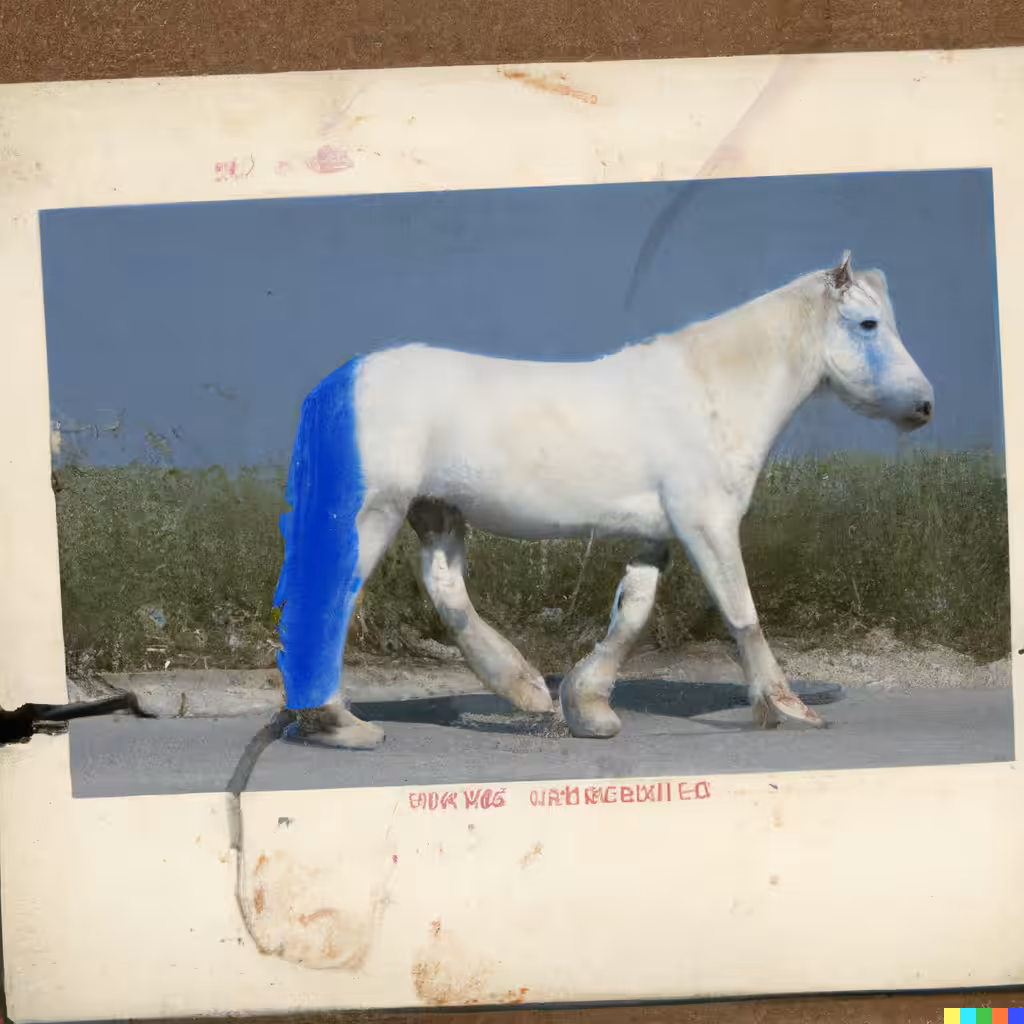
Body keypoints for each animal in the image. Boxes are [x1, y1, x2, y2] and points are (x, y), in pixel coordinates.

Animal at [271, 252, 934, 748]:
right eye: (868, 325)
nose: (924, 406)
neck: (709, 392)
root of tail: (338, 383)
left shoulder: (658, 533)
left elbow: (631, 613)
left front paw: (588, 707)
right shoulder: (708, 522)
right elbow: (741, 612)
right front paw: (787, 707)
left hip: (436, 511)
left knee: (445, 590)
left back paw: (524, 689)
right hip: (373, 514)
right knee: (330, 601)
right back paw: (341, 725)